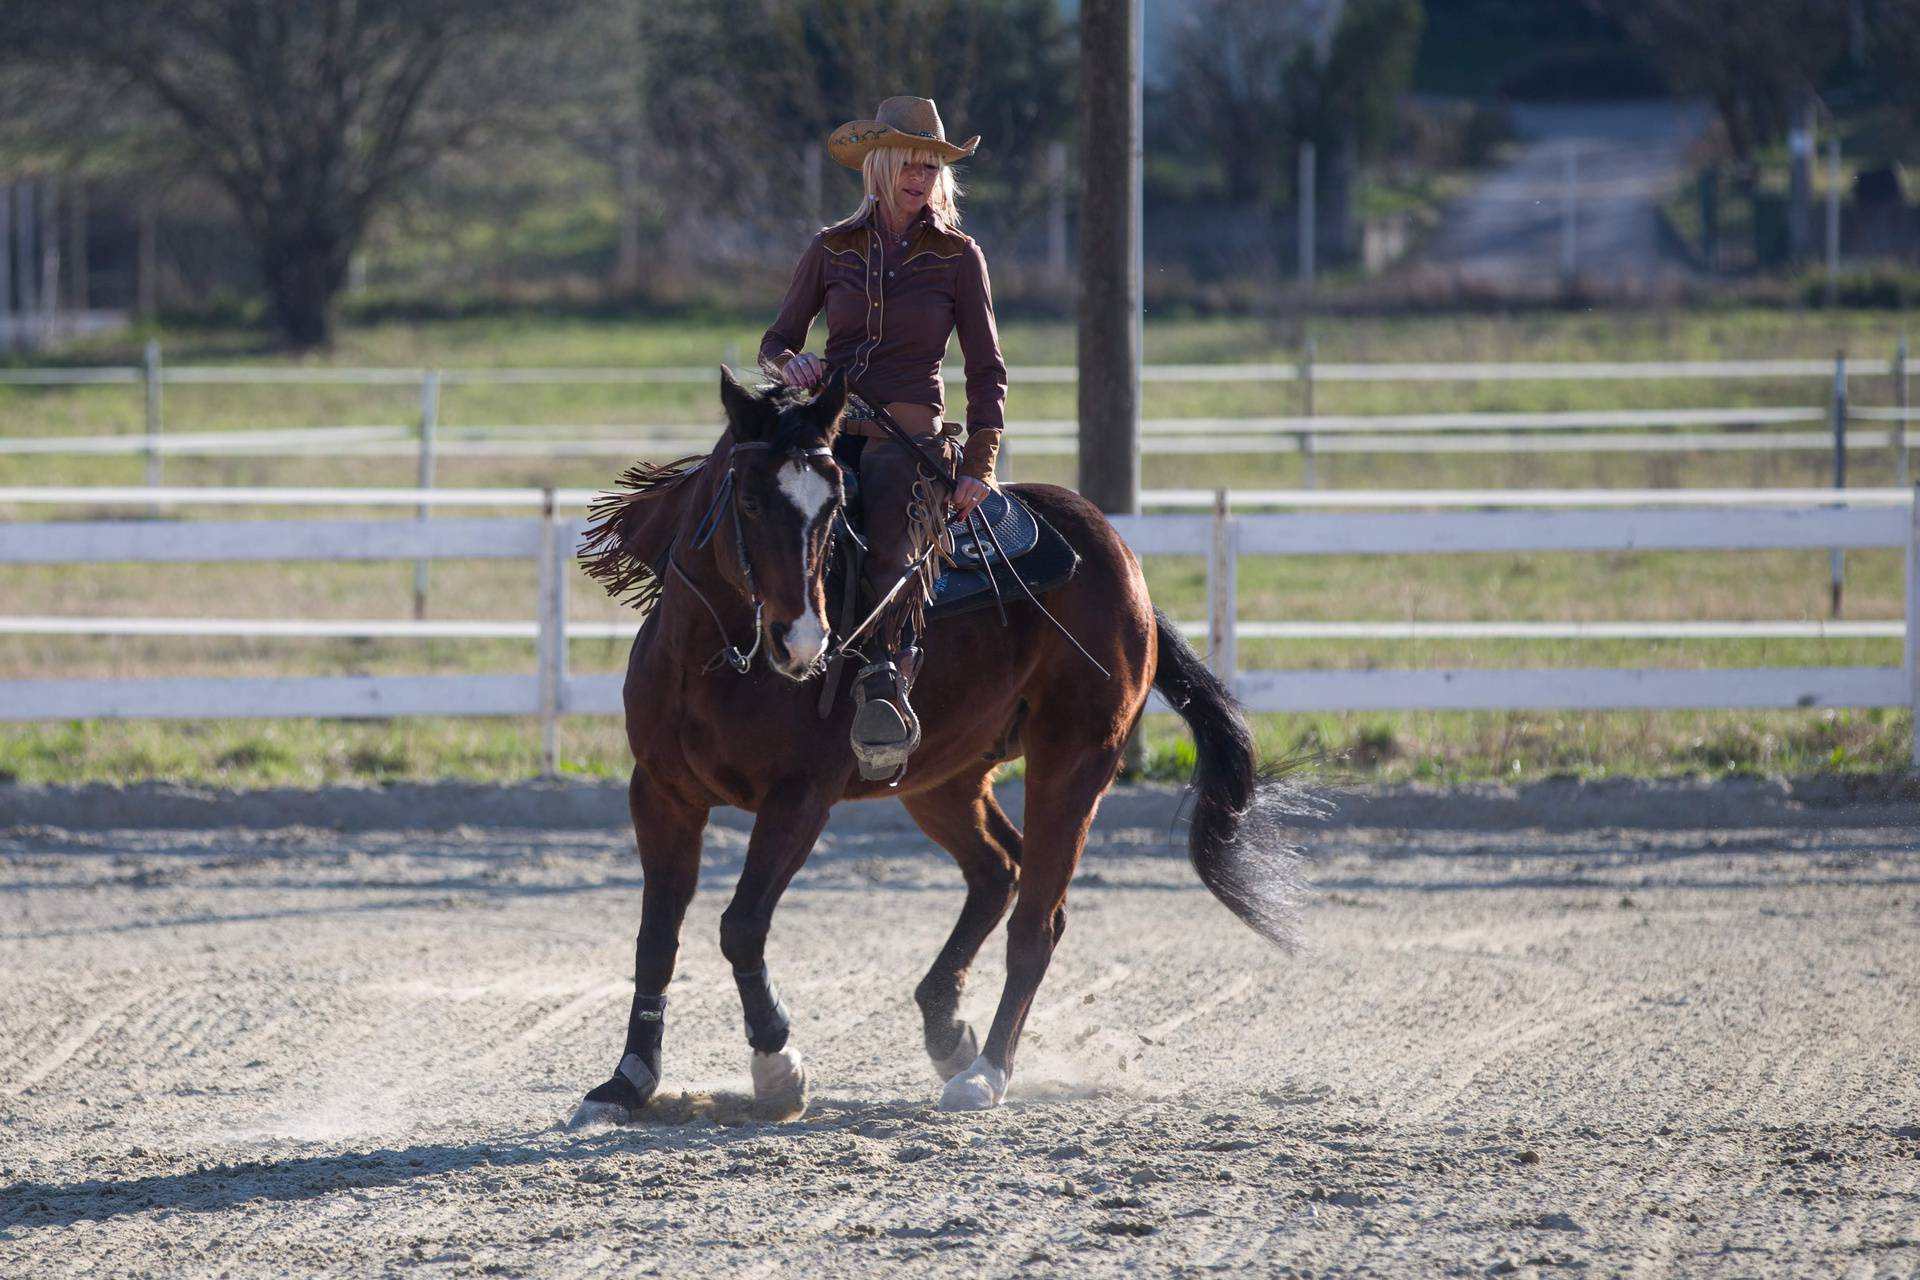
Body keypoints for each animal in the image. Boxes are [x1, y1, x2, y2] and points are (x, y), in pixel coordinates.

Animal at [564, 368, 1305, 1120]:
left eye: (833, 510)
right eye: (746, 499)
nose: (803, 643)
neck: (717, 662)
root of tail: (1125, 566)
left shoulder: (800, 799)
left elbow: (741, 924)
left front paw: (777, 1067)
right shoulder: (660, 793)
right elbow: (656, 936)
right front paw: (627, 1079)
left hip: (1074, 761)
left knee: (1036, 921)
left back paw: (985, 1071)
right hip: (940, 778)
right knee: (997, 869)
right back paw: (946, 1026)